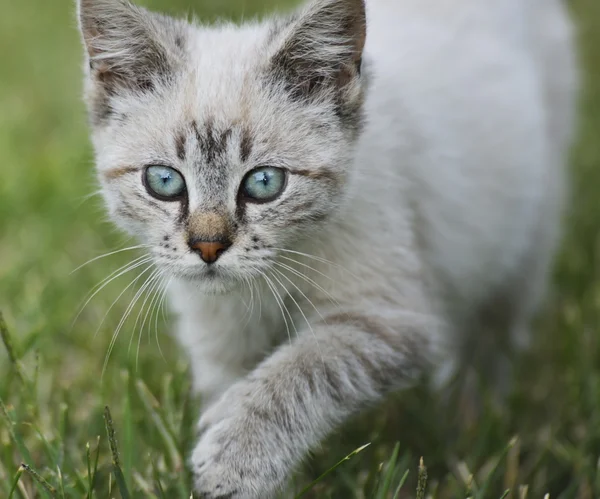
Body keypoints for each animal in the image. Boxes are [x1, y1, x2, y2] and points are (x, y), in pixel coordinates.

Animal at [77, 0, 580, 496]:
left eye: (264, 183)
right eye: (164, 181)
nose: (208, 247)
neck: (257, 289)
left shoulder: (389, 316)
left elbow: (301, 371)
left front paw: (233, 462)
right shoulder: (219, 335)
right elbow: (235, 384)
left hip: (527, 237)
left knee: (492, 340)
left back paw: (470, 427)